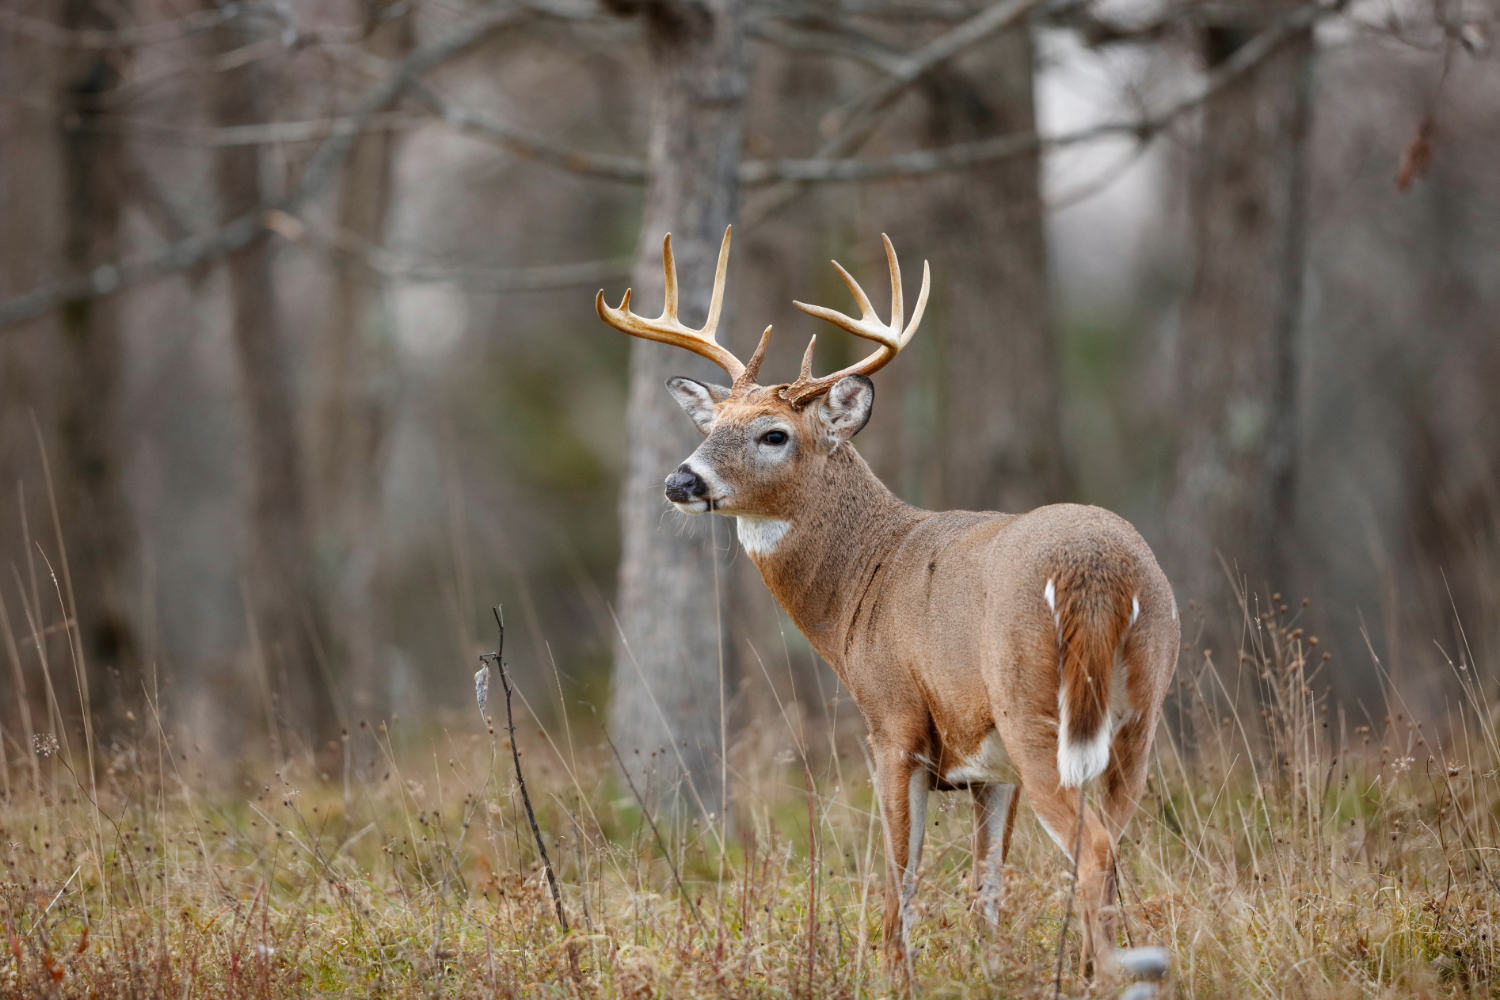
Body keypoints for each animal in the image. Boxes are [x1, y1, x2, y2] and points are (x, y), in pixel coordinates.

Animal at [596, 227, 1180, 982]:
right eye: (712, 422)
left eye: (773, 433)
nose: (679, 481)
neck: (863, 585)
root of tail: (1098, 571)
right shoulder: (989, 767)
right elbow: (986, 885)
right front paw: (986, 973)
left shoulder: (894, 720)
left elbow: (900, 873)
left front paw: (892, 972)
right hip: (1138, 714)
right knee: (1113, 842)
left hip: (1034, 707)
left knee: (1096, 851)